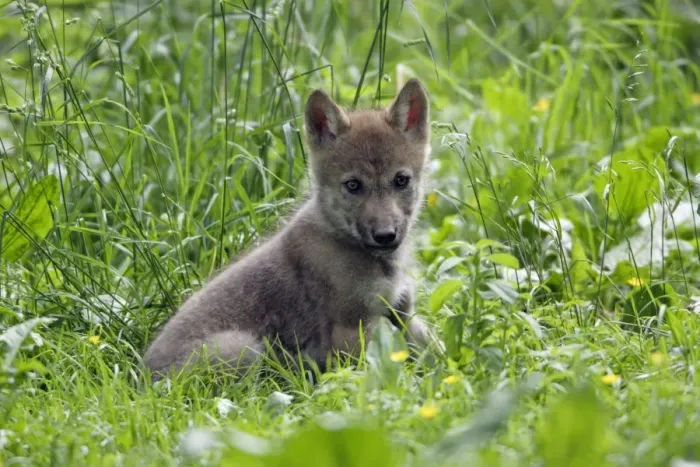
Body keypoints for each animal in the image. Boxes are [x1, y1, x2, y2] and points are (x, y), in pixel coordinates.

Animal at [143, 78, 434, 379]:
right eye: (353, 185)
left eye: (401, 180)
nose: (386, 235)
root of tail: (142, 378)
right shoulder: (351, 328)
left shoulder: (403, 311)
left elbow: (430, 350)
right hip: (246, 348)